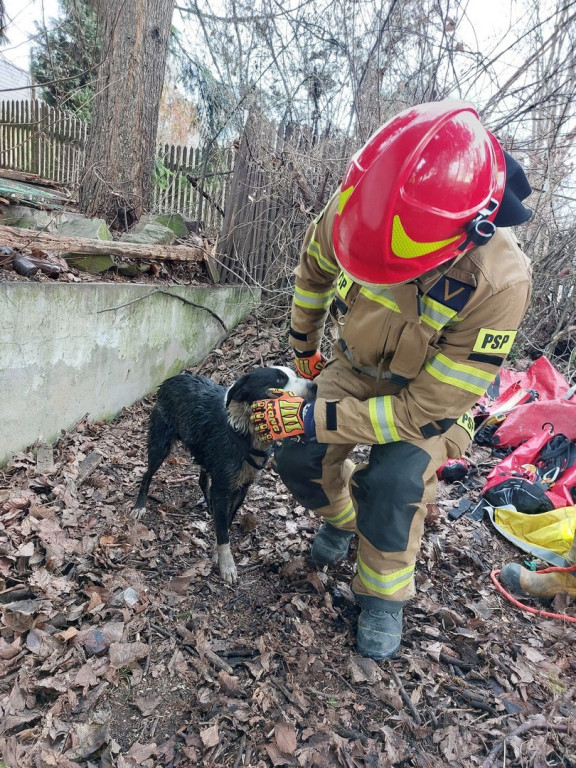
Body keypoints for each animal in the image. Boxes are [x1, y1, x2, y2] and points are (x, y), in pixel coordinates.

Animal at [132, 366, 316, 584]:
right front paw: (227, 565)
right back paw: (139, 506)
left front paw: (217, 553)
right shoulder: (222, 487)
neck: (245, 432)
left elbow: (226, 522)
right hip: (161, 444)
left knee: (202, 479)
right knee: (147, 475)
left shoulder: (241, 488)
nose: (314, 386)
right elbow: (223, 532)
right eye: (279, 379)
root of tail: (172, 379)